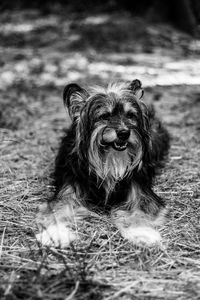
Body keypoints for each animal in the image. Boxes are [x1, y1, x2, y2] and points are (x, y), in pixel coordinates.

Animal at [35, 78, 169, 247]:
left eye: (130, 115)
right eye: (104, 116)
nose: (124, 133)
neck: (110, 158)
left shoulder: (140, 191)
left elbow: (140, 210)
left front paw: (142, 232)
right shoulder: (68, 188)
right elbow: (58, 209)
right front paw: (56, 234)